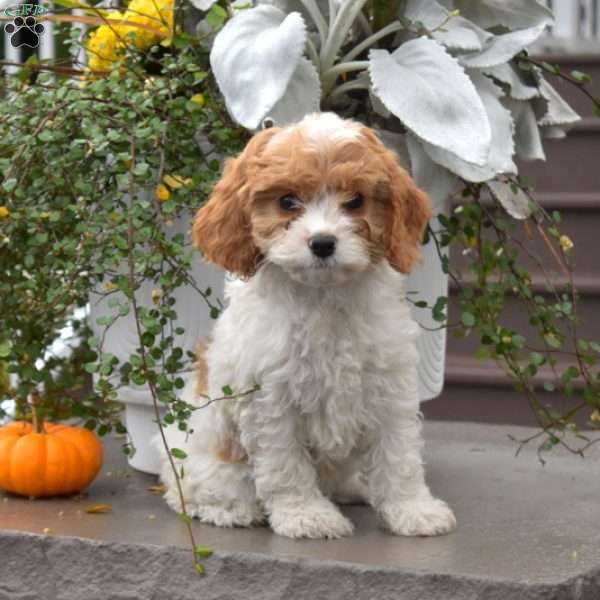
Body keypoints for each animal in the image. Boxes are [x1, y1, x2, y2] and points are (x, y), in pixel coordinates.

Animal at [157, 112, 458, 540]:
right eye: (287, 202)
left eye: (355, 201)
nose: (322, 243)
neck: (324, 299)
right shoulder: (271, 402)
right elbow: (286, 466)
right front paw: (306, 515)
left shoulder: (390, 387)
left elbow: (398, 455)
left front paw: (413, 510)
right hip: (200, 458)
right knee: (193, 489)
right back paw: (230, 509)